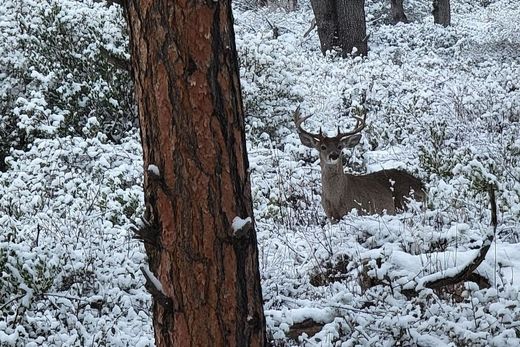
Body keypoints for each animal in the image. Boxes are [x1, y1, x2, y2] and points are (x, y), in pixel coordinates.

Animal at [294, 106, 424, 220]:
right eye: (323, 147)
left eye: (340, 146)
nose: (334, 155)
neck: (336, 199)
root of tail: (422, 186)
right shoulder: (331, 217)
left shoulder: (357, 210)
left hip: (405, 200)